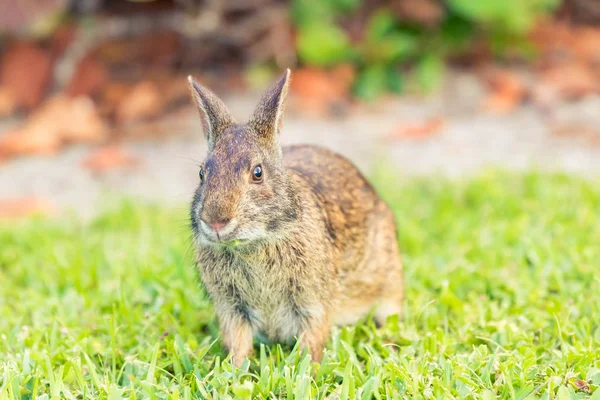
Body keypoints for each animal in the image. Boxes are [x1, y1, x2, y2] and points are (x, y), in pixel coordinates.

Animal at [188, 69, 404, 366]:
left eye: (257, 173)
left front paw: (307, 371)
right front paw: (233, 372)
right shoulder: (232, 309)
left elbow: (310, 344)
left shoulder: (312, 304)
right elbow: (238, 345)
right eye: (202, 174)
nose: (216, 221)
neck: (256, 243)